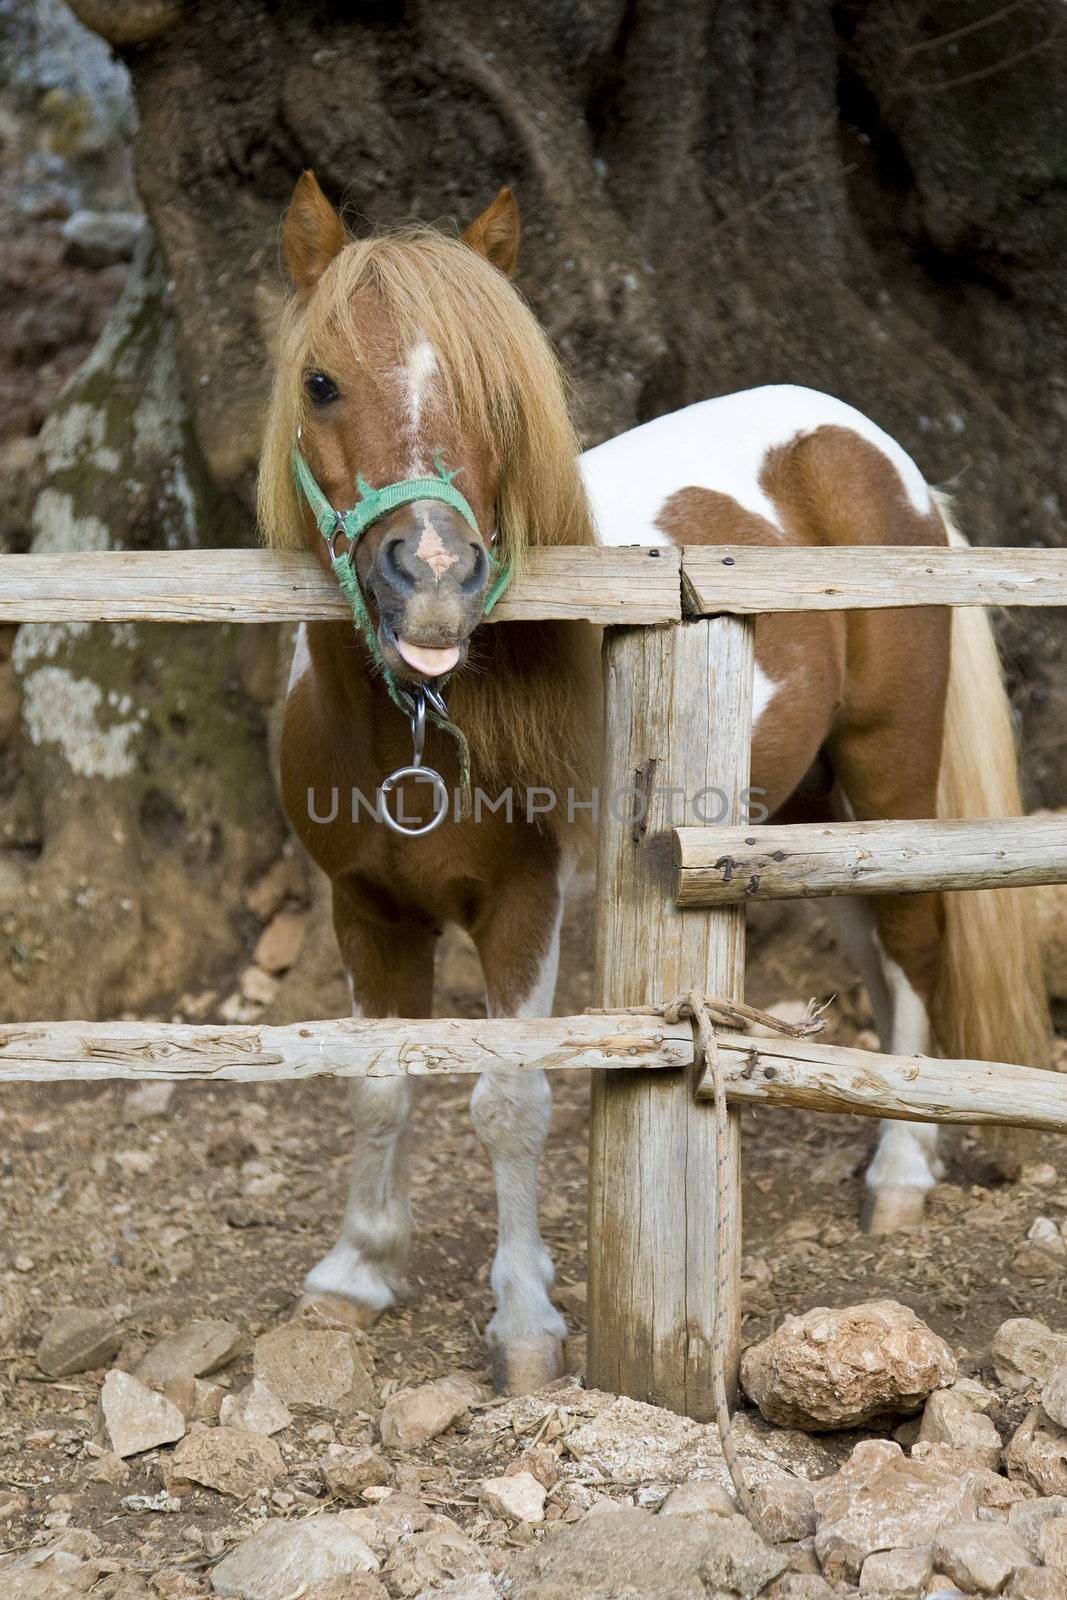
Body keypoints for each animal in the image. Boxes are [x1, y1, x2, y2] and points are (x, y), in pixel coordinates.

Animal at [260, 175, 1049, 1395]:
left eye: (501, 395)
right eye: (321, 381)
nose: (433, 580)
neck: (425, 723)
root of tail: (873, 452)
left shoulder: (523, 908)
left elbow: (509, 1103)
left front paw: (525, 1323)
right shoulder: (367, 906)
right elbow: (378, 1080)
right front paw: (354, 1274)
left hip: (886, 771)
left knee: (916, 939)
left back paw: (902, 1172)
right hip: (803, 813)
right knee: (873, 945)